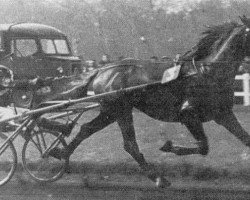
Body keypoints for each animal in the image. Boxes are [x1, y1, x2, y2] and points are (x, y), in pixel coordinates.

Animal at [47, 16, 250, 188]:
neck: (207, 73)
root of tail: (102, 70)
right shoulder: (188, 114)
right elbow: (203, 146)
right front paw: (169, 146)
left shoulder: (223, 114)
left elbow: (245, 139)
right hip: (120, 109)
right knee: (130, 144)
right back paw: (158, 178)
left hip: (110, 111)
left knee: (86, 129)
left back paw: (61, 153)